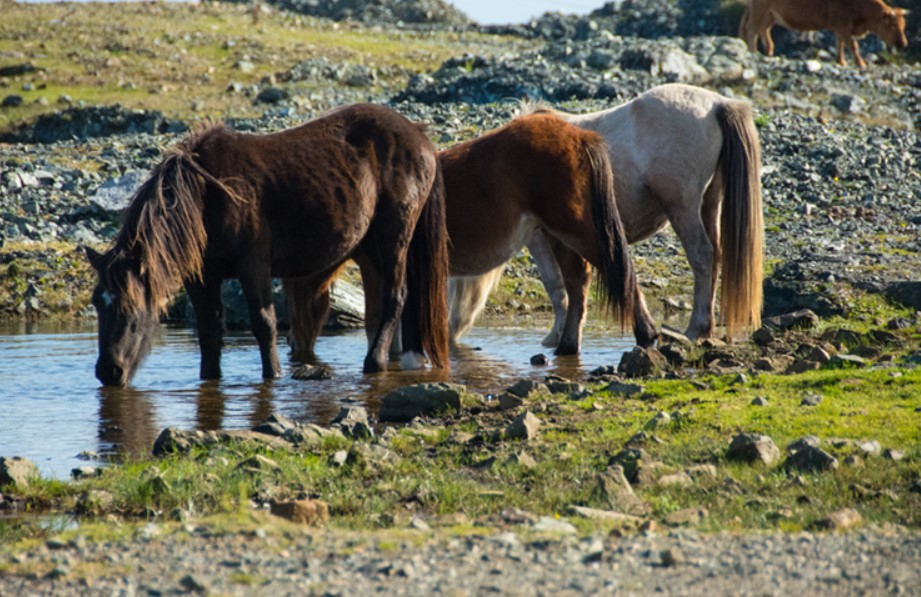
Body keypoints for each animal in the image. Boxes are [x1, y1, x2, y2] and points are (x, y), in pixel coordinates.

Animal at [86, 103, 450, 387]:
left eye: (132, 311)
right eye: (97, 305)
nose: (108, 372)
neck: (206, 198)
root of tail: (419, 137)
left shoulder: (253, 265)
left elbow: (264, 323)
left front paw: (273, 375)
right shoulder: (201, 277)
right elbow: (209, 332)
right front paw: (210, 379)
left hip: (394, 237)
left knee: (396, 297)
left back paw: (374, 363)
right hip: (370, 247)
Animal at [286, 111, 658, 359]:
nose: (294, 349)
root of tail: (577, 135)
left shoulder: (379, 265)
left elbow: (379, 319)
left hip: (574, 230)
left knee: (617, 271)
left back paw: (646, 335)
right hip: (557, 235)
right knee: (578, 284)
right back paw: (567, 347)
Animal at [449, 84, 764, 347]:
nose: (449, 332)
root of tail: (717, 104)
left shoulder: (538, 236)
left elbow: (555, 285)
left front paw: (554, 336)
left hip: (682, 207)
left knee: (701, 255)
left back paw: (692, 329)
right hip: (709, 204)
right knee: (715, 257)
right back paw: (704, 330)